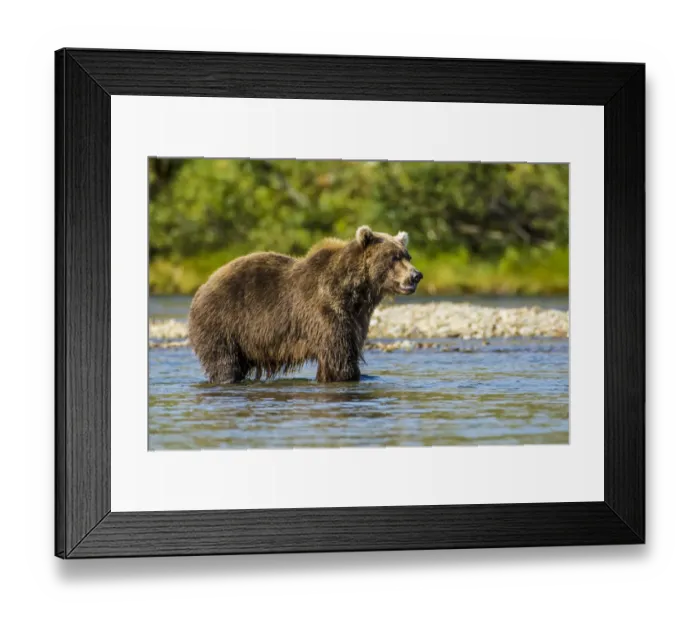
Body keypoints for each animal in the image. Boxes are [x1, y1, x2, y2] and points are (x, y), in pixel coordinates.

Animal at [187, 225, 423, 383]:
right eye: (393, 257)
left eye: (407, 255)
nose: (416, 275)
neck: (355, 292)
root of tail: (204, 284)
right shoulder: (325, 312)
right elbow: (339, 359)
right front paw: (349, 375)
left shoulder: (357, 317)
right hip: (223, 322)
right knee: (224, 363)